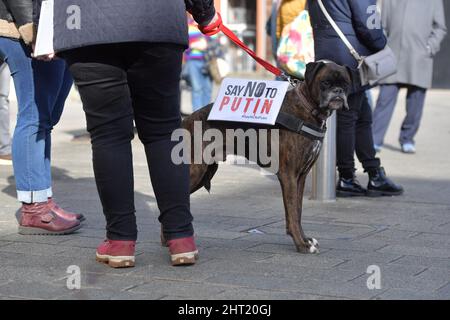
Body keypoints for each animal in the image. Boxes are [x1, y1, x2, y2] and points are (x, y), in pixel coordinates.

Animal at [181, 61, 354, 254]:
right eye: (326, 82)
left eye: (346, 83)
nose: (338, 91)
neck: (308, 108)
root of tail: (185, 121)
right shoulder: (288, 176)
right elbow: (292, 212)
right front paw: (301, 244)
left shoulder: (300, 177)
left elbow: (298, 210)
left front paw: (305, 239)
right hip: (195, 171)